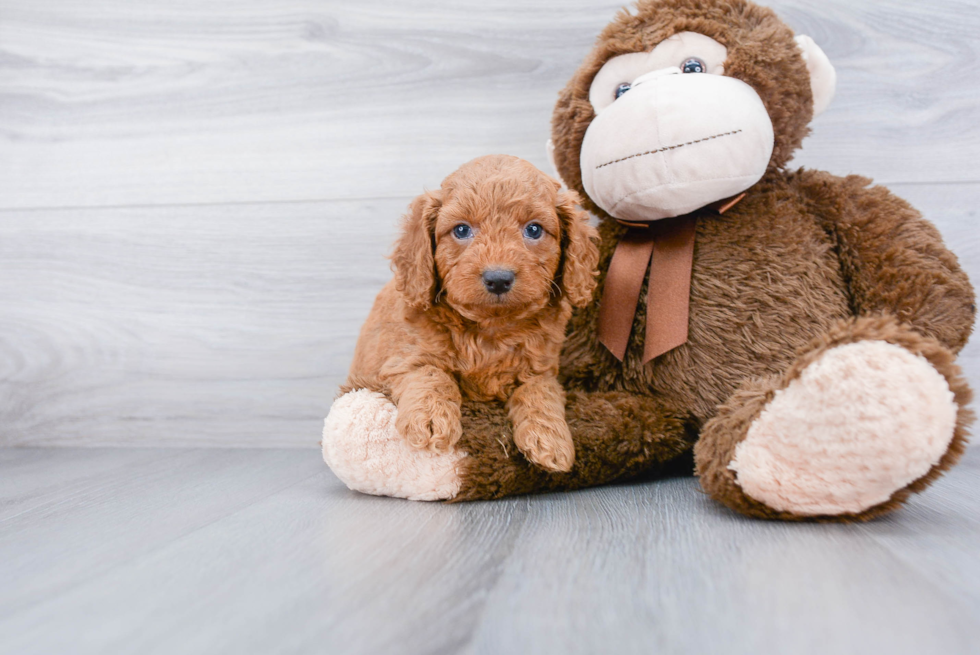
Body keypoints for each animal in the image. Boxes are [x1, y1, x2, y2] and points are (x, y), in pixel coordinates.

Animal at [348, 155, 600, 472]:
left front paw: (550, 439)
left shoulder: (541, 369)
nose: (498, 279)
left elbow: (540, 391)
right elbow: (430, 372)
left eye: (533, 230)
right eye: (461, 230)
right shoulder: (401, 359)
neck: (490, 327)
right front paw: (430, 419)